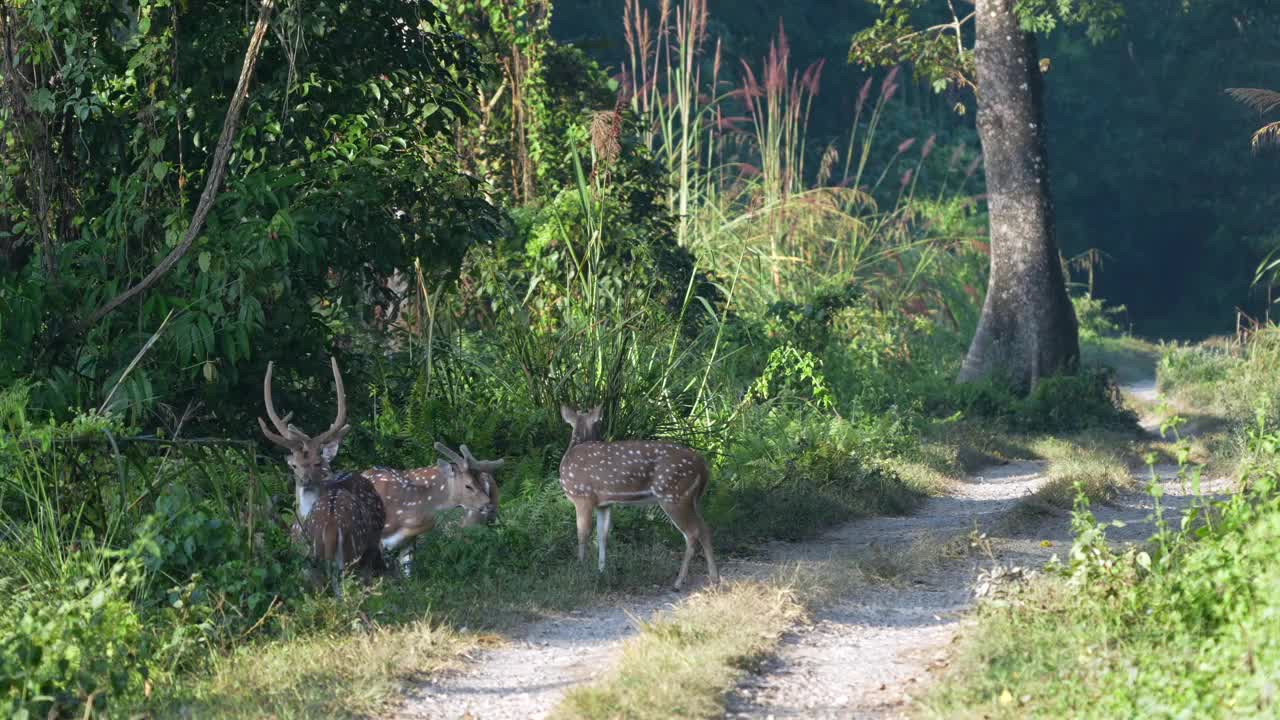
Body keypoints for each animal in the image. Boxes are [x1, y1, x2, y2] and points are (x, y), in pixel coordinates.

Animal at [560, 404, 721, 589]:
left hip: (673, 495)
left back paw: (678, 582)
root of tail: (704, 466)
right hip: (692, 499)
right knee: (705, 529)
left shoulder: (582, 496)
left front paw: (580, 569)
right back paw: (714, 578)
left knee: (692, 532)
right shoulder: (604, 504)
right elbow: (602, 535)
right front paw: (601, 571)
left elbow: (582, 534)